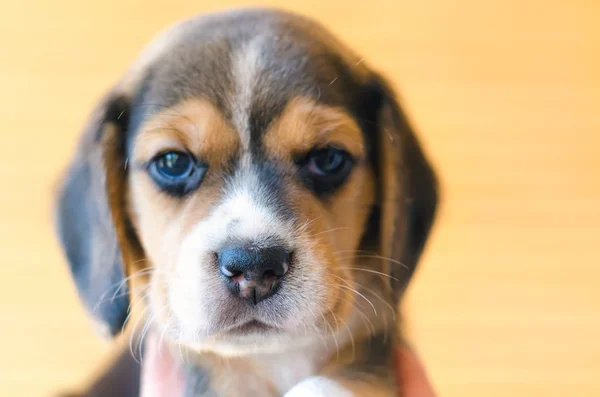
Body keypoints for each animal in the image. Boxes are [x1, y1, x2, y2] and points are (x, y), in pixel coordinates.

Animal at [56, 6, 438, 396]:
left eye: (328, 159)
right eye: (173, 162)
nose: (254, 266)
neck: (272, 355)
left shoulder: (373, 341)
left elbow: (335, 380)